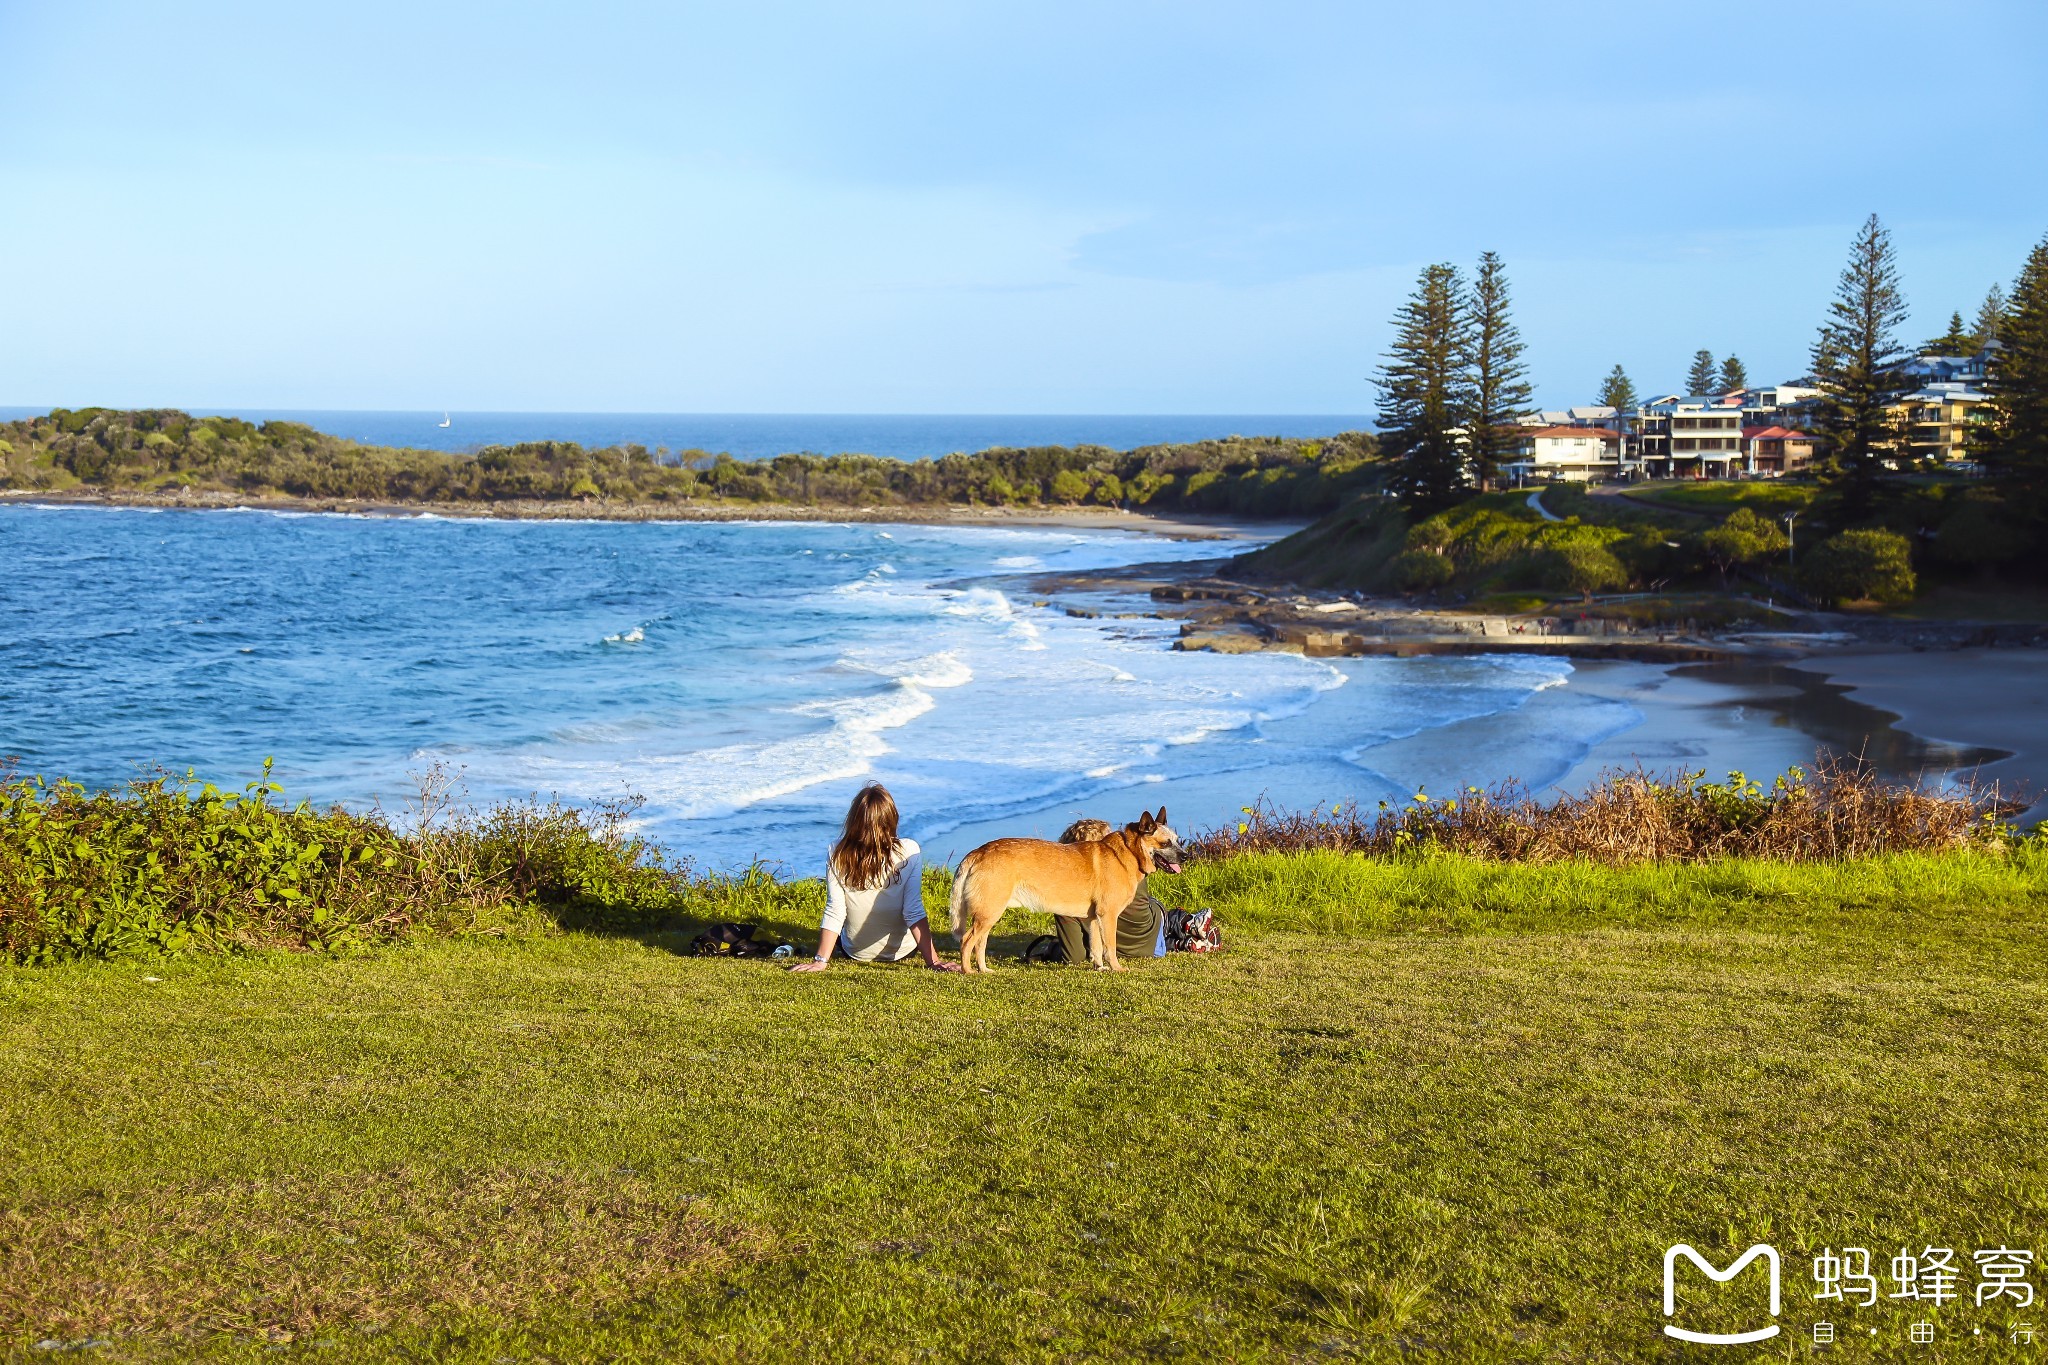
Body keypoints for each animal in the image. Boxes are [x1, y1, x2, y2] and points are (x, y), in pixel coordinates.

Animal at [946, 806, 1187, 978]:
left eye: (1178, 841)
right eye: (1165, 843)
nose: (1186, 856)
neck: (1128, 852)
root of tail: (978, 852)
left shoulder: (1093, 919)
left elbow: (1096, 947)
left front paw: (1100, 968)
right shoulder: (1108, 916)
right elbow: (1110, 946)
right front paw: (1116, 968)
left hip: (989, 915)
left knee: (979, 943)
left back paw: (984, 970)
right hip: (989, 913)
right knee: (967, 940)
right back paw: (968, 971)